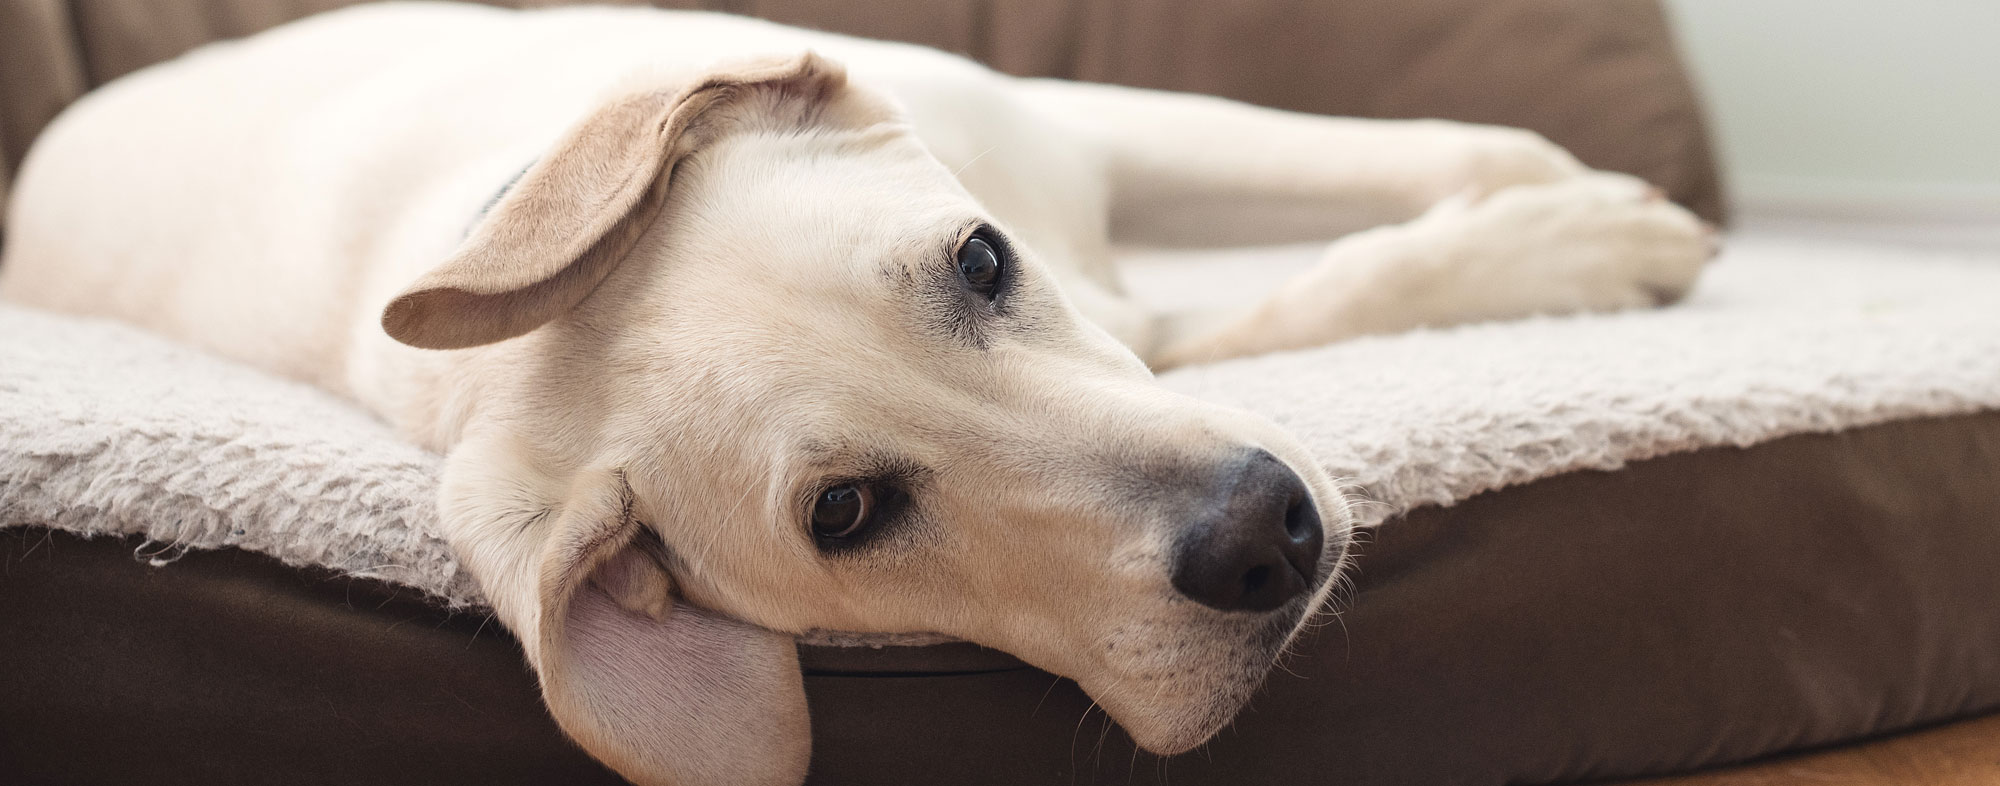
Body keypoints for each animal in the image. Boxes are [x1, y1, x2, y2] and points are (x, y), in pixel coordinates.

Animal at [3, 3, 1720, 780]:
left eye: (981, 261)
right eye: (847, 512)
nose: (1266, 537)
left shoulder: (1074, 137)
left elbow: (1389, 159)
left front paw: (1572, 209)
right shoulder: (1162, 317)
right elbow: (1318, 288)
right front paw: (1572, 242)